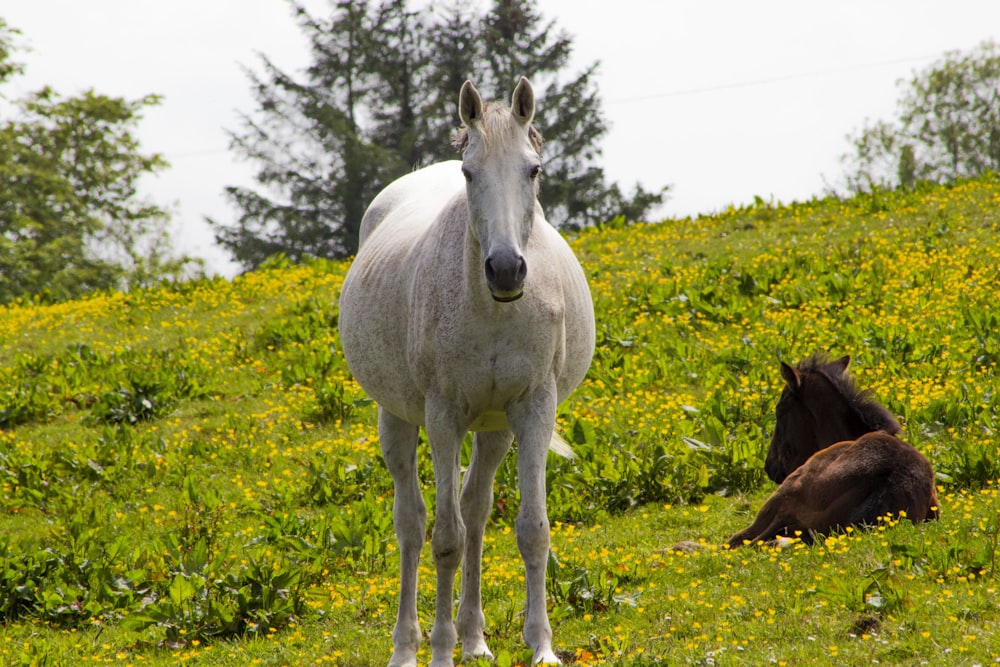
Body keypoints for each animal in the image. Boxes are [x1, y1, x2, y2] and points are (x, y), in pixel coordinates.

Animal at [340, 79, 596, 667]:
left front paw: (541, 646)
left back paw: (475, 639)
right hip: (397, 419)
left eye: (533, 169)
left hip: (495, 428)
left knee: (477, 511)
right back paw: (407, 647)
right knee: (412, 526)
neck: (495, 309)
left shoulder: (534, 408)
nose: (506, 269)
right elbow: (445, 539)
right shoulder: (444, 416)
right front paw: (439, 650)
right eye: (469, 173)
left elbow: (531, 529)